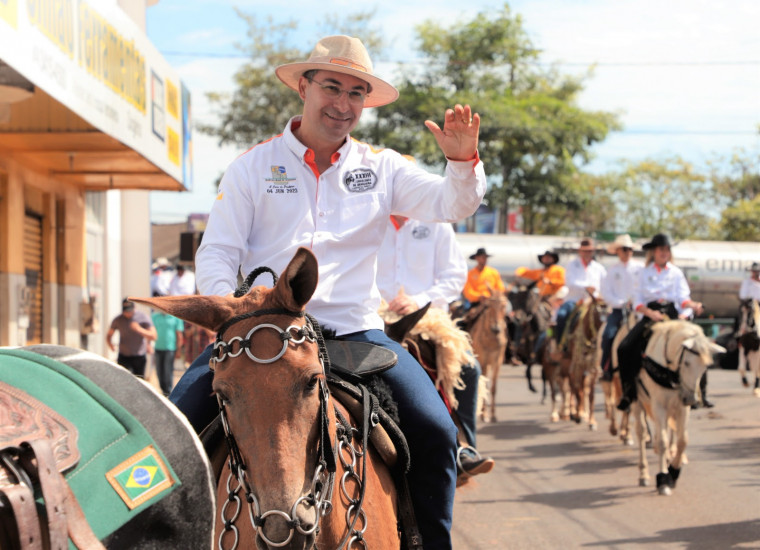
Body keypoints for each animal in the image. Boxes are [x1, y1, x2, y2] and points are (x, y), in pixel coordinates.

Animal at [466, 292, 508, 424]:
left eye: (504, 306)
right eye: (488, 306)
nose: (496, 329)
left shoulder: (497, 362)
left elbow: (493, 388)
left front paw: (493, 415)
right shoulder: (483, 362)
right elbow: (485, 386)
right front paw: (484, 415)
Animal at [628, 320, 724, 496]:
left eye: (705, 367)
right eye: (686, 363)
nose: (692, 399)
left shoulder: (681, 407)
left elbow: (682, 440)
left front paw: (673, 471)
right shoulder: (659, 406)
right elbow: (662, 442)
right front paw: (663, 480)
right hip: (637, 403)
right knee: (642, 432)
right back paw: (643, 474)